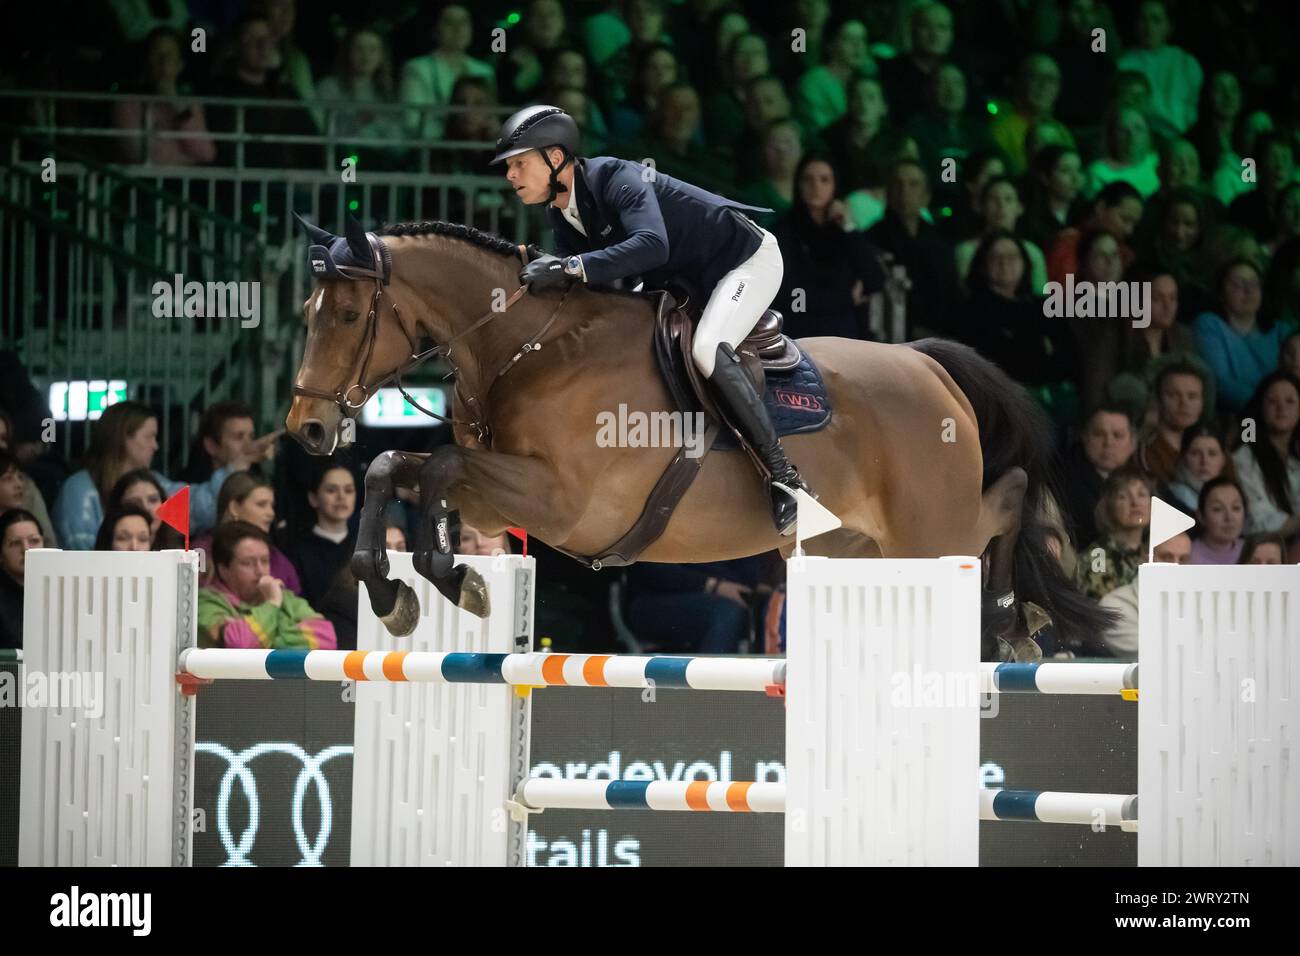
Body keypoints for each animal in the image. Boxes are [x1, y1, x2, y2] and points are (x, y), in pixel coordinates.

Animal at [284, 217, 1107, 660]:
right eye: (307, 311)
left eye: (350, 316)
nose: (308, 428)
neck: (525, 347)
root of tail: (925, 362)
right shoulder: (499, 500)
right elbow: (396, 465)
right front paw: (398, 590)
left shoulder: (561, 503)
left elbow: (440, 463)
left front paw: (452, 580)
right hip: (862, 546)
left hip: (929, 529)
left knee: (1006, 497)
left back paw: (1012, 616)